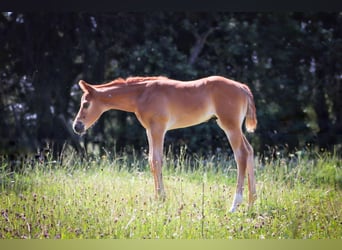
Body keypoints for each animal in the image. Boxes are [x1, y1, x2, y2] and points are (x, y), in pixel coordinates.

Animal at [73, 75, 258, 212]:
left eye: (86, 104)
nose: (77, 126)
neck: (142, 94)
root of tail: (242, 87)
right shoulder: (149, 130)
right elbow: (151, 161)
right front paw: (158, 199)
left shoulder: (158, 128)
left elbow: (157, 161)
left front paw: (161, 199)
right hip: (232, 126)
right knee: (249, 151)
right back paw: (251, 203)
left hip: (230, 126)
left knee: (241, 155)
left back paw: (235, 205)